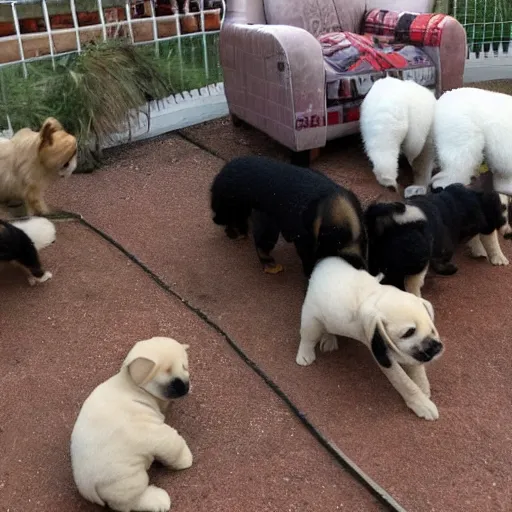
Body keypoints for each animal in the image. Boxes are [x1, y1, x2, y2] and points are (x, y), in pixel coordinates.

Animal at [70, 336, 192, 512]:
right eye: (167, 371)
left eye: (185, 367)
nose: (186, 386)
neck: (133, 386)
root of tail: (86, 488)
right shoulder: (154, 432)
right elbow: (174, 445)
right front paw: (185, 459)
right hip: (130, 481)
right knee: (130, 503)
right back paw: (158, 499)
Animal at [296, 256, 444, 420]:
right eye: (408, 333)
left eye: (432, 328)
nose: (437, 348)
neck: (374, 295)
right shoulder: (380, 347)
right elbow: (403, 381)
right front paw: (422, 404)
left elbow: (416, 367)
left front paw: (423, 387)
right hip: (311, 317)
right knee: (308, 337)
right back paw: (305, 355)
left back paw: (329, 339)